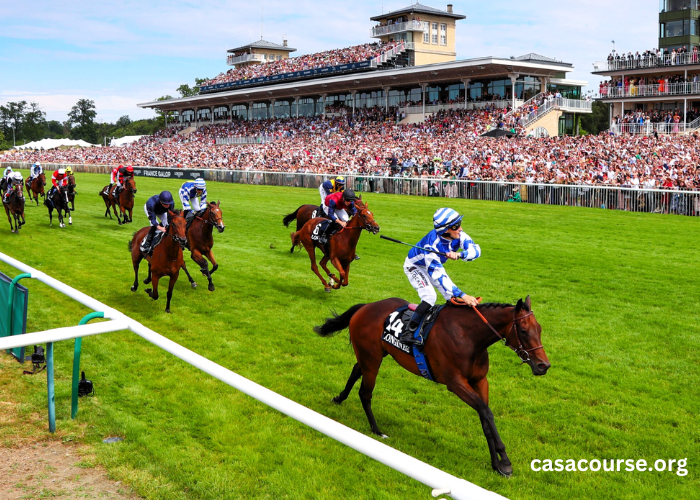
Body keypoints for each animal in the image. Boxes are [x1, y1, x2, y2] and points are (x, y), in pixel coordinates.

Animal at [314, 296, 548, 476]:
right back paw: (377, 430)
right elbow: (486, 412)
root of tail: (366, 306)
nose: (543, 365)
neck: (469, 336)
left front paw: (496, 464)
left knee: (356, 370)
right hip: (372, 358)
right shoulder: (455, 382)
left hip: (373, 354)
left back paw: (339, 398)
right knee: (365, 392)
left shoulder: (480, 381)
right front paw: (505, 462)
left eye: (540, 329)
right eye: (523, 330)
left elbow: (485, 418)